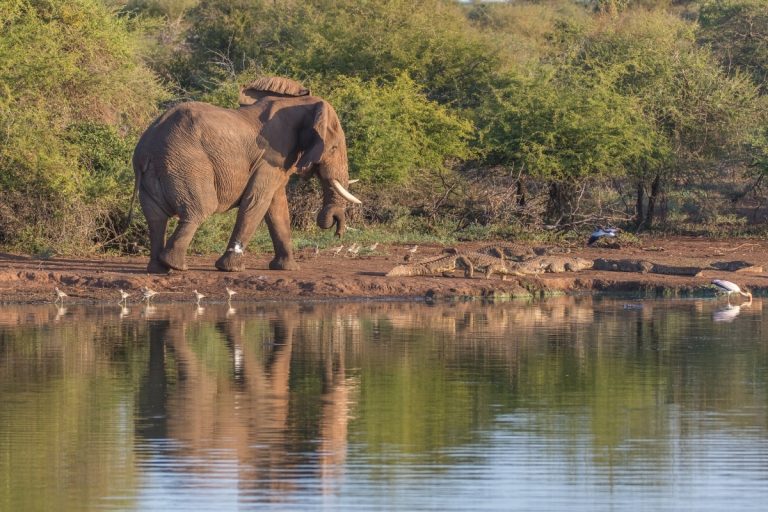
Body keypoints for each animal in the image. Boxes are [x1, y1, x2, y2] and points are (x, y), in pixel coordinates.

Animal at [131, 76, 361, 274]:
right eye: (333, 148)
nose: (337, 232)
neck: (301, 102)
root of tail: (147, 148)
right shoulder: (270, 155)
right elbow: (257, 201)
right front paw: (232, 269)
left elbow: (277, 206)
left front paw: (288, 269)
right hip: (187, 165)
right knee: (200, 209)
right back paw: (176, 265)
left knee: (156, 218)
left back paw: (160, 269)